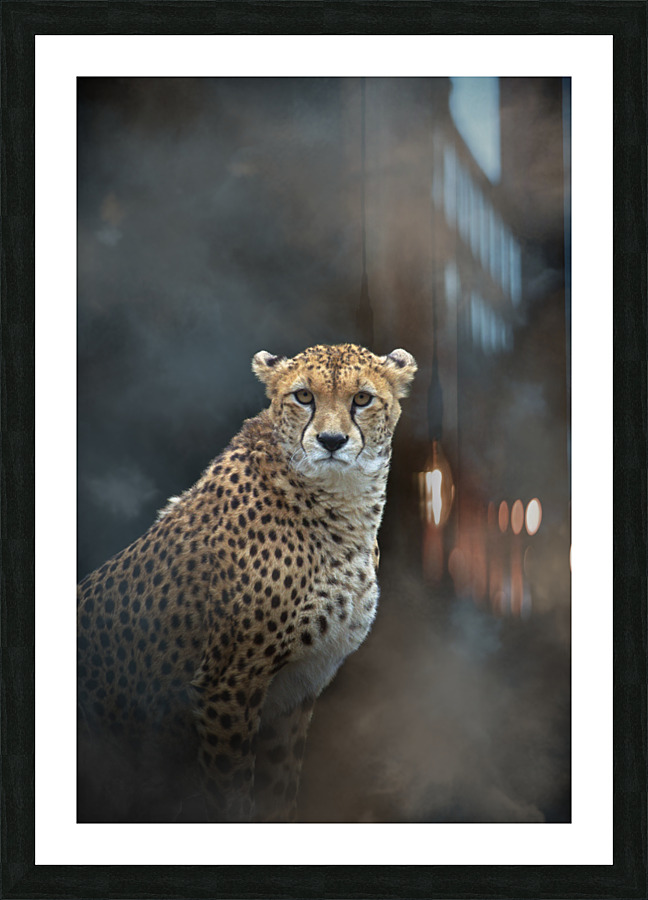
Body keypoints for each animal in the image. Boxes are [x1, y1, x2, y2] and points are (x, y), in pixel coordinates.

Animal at [77, 342, 417, 823]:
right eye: (304, 396)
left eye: (363, 399)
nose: (332, 441)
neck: (339, 502)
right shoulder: (229, 684)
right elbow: (231, 795)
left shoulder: (292, 695)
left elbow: (279, 793)